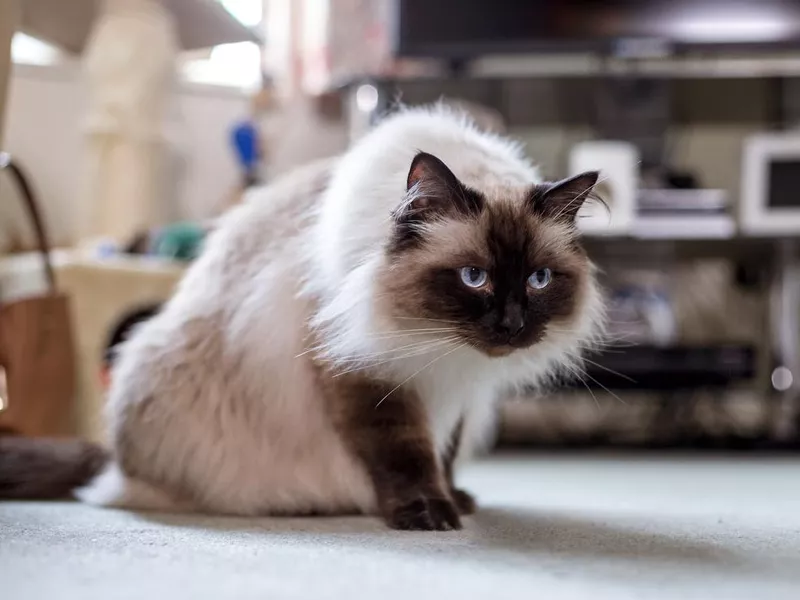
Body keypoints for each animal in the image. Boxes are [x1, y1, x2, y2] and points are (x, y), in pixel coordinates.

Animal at [0, 104, 604, 528]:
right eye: (474, 277)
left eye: (539, 280)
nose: (511, 325)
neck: (442, 351)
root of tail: (113, 464)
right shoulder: (369, 376)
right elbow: (405, 453)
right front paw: (428, 514)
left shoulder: (461, 391)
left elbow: (445, 453)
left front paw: (454, 497)